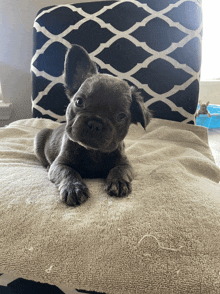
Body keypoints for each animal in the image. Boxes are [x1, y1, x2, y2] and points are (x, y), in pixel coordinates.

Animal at [34, 44, 151, 207]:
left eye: (121, 116)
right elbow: (68, 172)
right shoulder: (59, 165)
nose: (95, 123)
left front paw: (119, 182)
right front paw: (73, 188)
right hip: (39, 138)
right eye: (79, 101)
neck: (93, 151)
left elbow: (120, 170)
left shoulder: (126, 164)